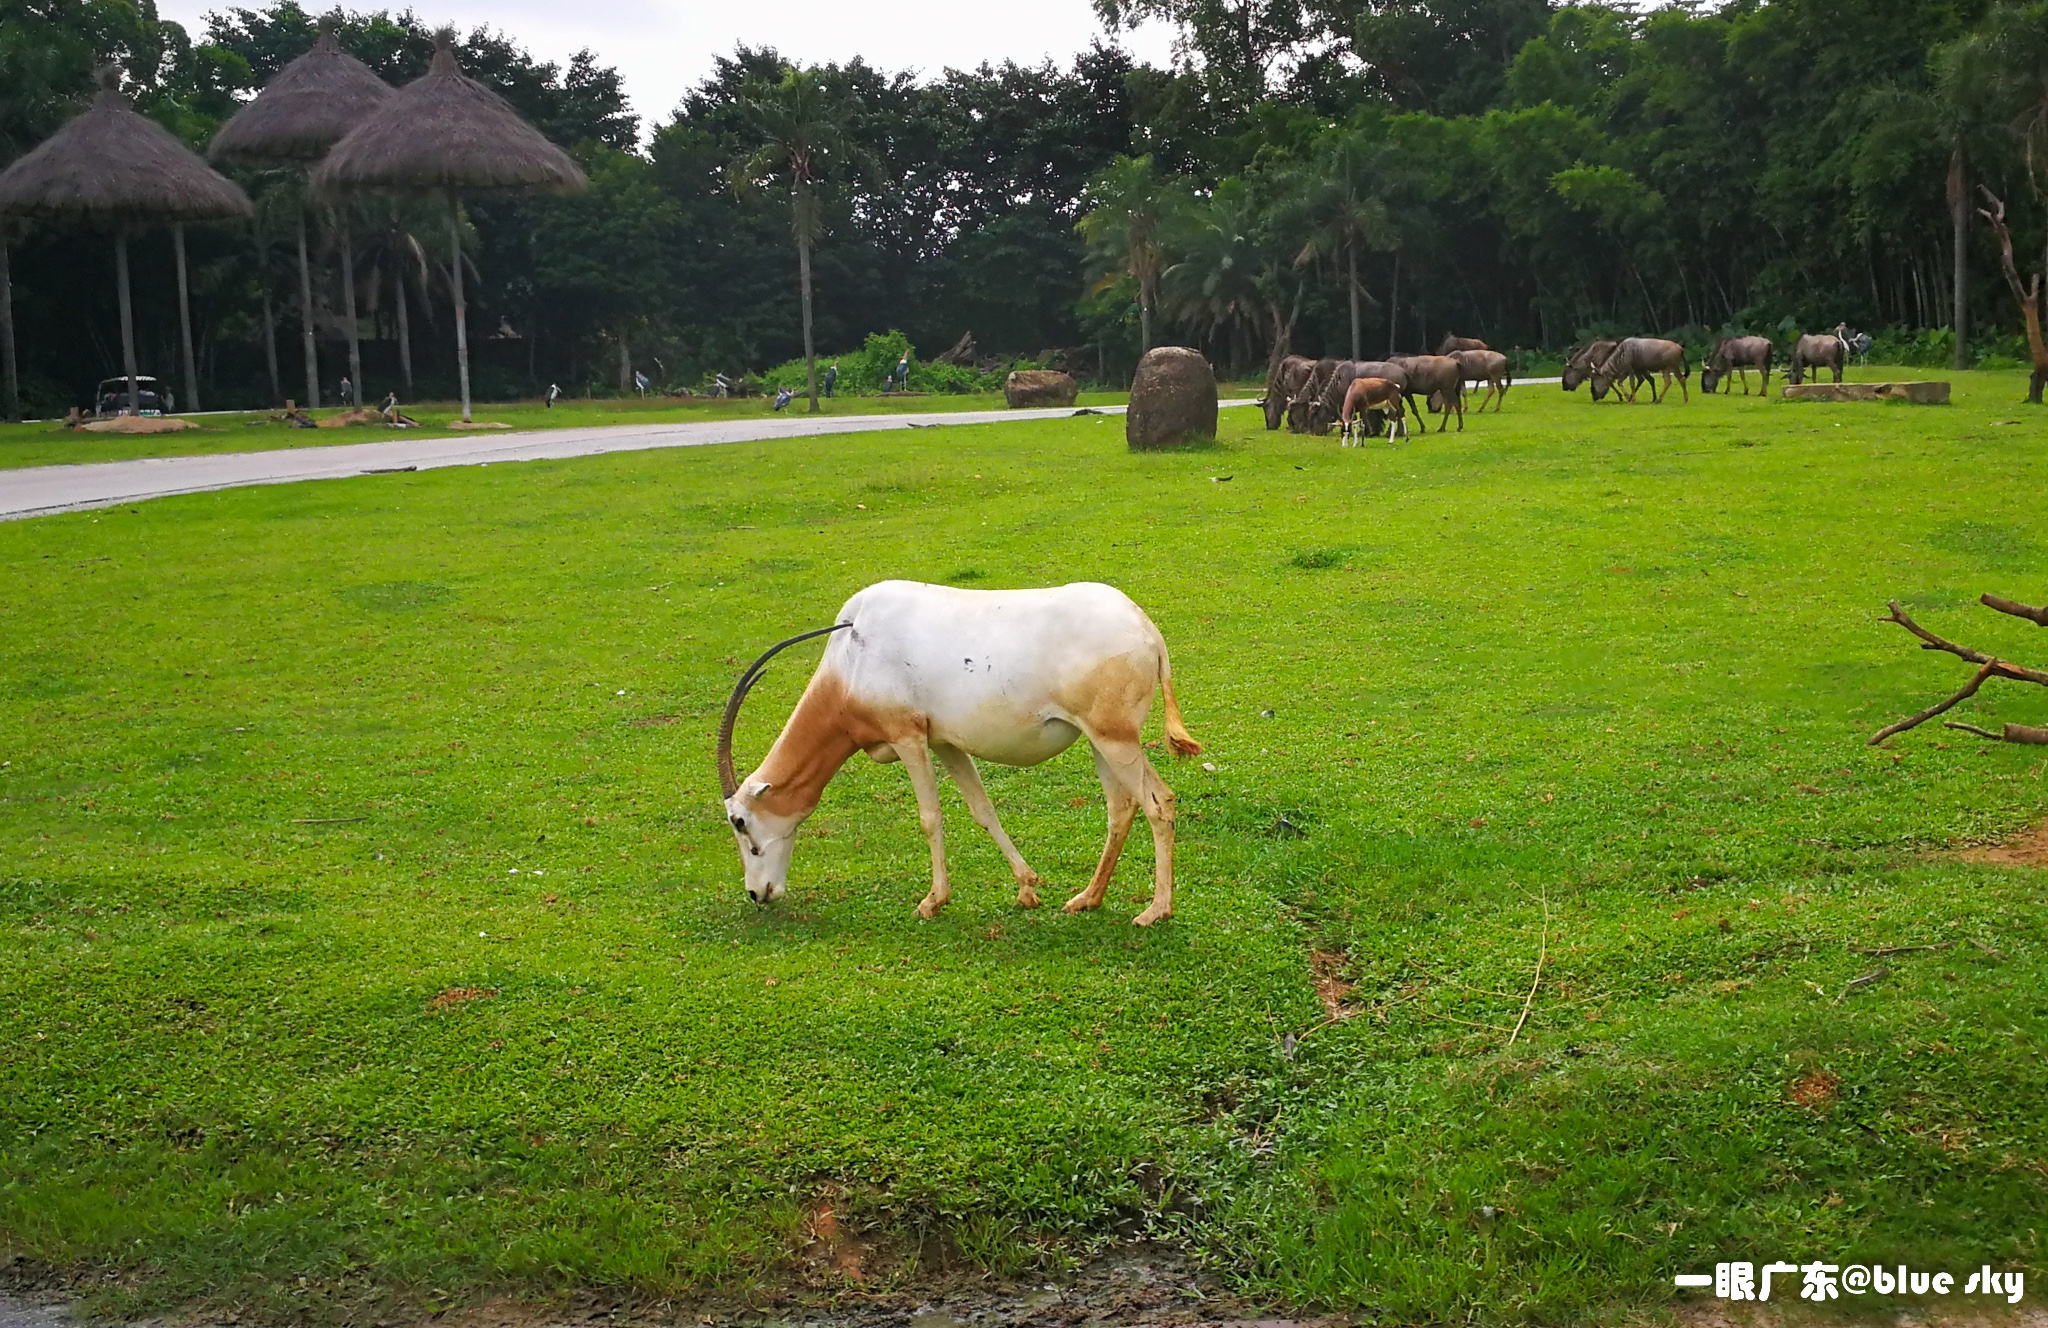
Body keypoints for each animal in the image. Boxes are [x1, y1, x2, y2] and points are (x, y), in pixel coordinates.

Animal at [720, 582, 1196, 922]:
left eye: (740, 822)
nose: (757, 893)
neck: (851, 657)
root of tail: (1146, 628)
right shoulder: (945, 742)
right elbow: (982, 810)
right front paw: (1027, 888)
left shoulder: (908, 737)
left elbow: (930, 817)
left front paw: (932, 901)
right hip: (1101, 740)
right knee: (1122, 806)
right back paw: (1087, 898)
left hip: (1115, 738)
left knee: (1159, 802)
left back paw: (1155, 911)